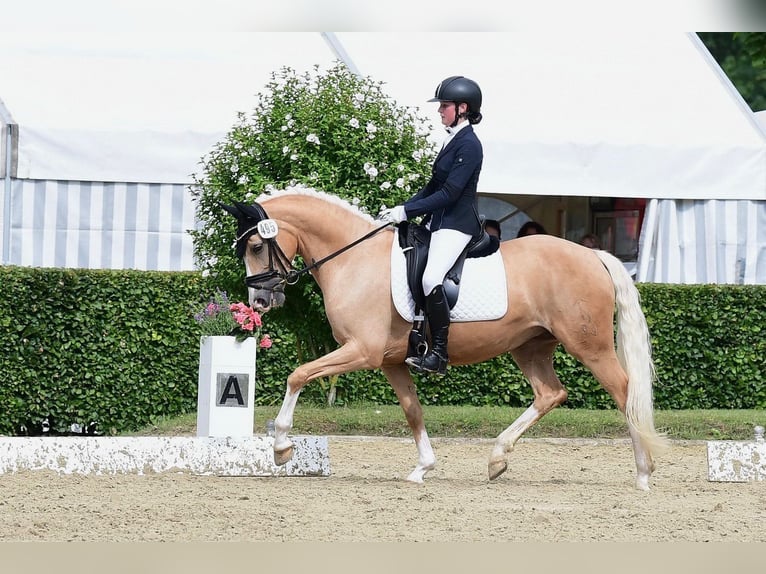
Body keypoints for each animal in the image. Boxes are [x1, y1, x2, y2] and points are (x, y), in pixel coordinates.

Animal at [220, 188, 664, 490]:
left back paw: (644, 473)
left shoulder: (361, 351)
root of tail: (594, 255)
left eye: (256, 246)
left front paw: (280, 447)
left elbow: (297, 375)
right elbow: (412, 410)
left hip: (589, 347)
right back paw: (497, 458)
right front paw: (423, 467)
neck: (354, 259)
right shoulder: (390, 361)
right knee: (550, 393)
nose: (259, 301)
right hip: (530, 346)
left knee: (625, 393)